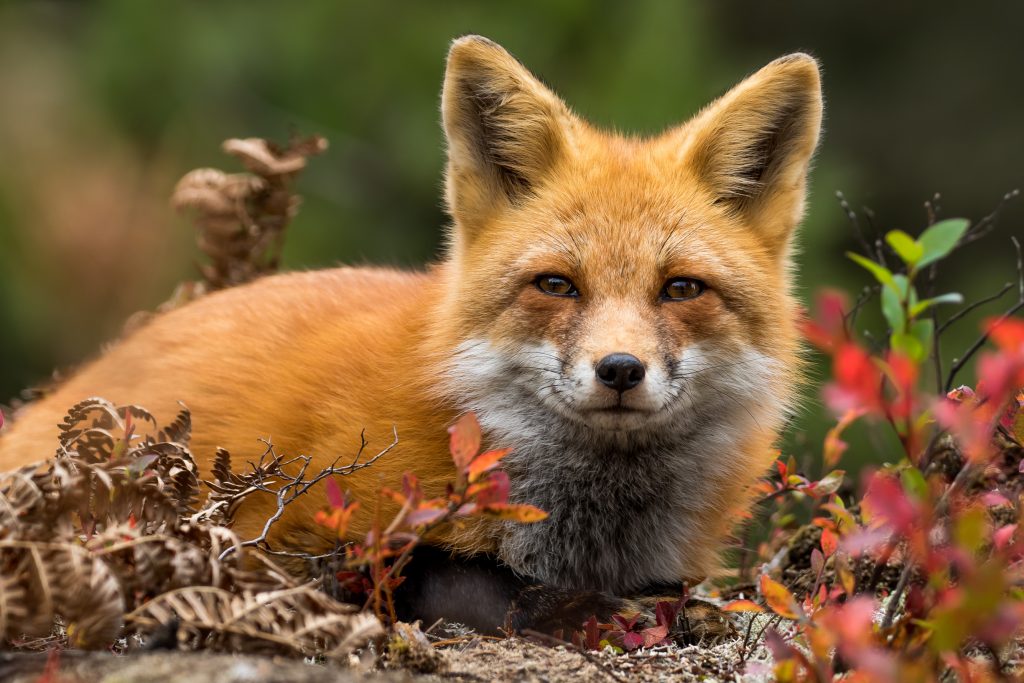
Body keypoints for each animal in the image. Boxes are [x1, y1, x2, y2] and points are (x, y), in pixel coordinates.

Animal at [0, 34, 819, 638]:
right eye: (557, 285)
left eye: (680, 288)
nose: (619, 369)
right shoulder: (295, 540)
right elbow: (466, 582)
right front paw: (576, 610)